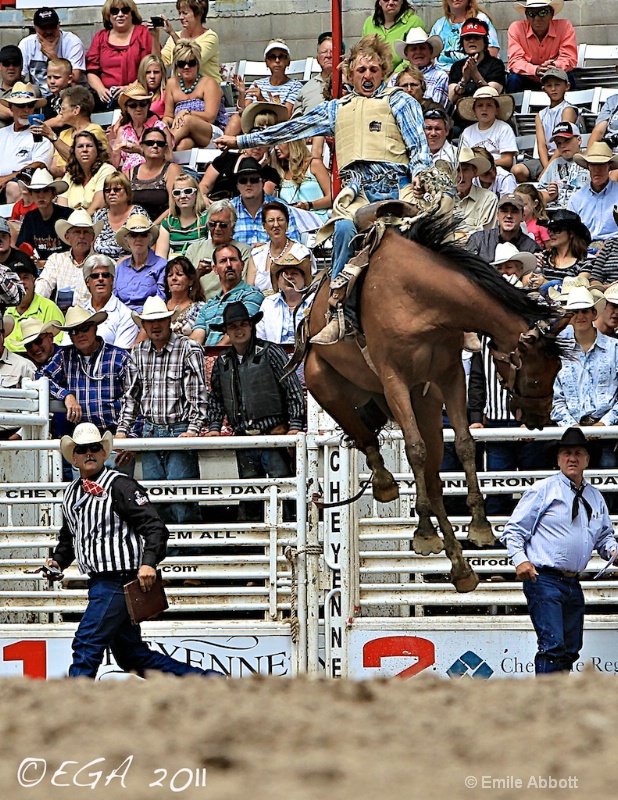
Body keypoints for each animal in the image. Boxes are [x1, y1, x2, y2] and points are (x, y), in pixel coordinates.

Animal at [304, 216, 568, 592]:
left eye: (557, 368)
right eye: (534, 377)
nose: (539, 416)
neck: (421, 300)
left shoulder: (450, 376)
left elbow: (465, 444)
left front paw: (480, 526)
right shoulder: (394, 380)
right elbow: (414, 449)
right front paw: (427, 530)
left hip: (423, 402)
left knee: (432, 478)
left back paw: (461, 568)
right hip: (323, 383)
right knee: (370, 438)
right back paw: (386, 485)